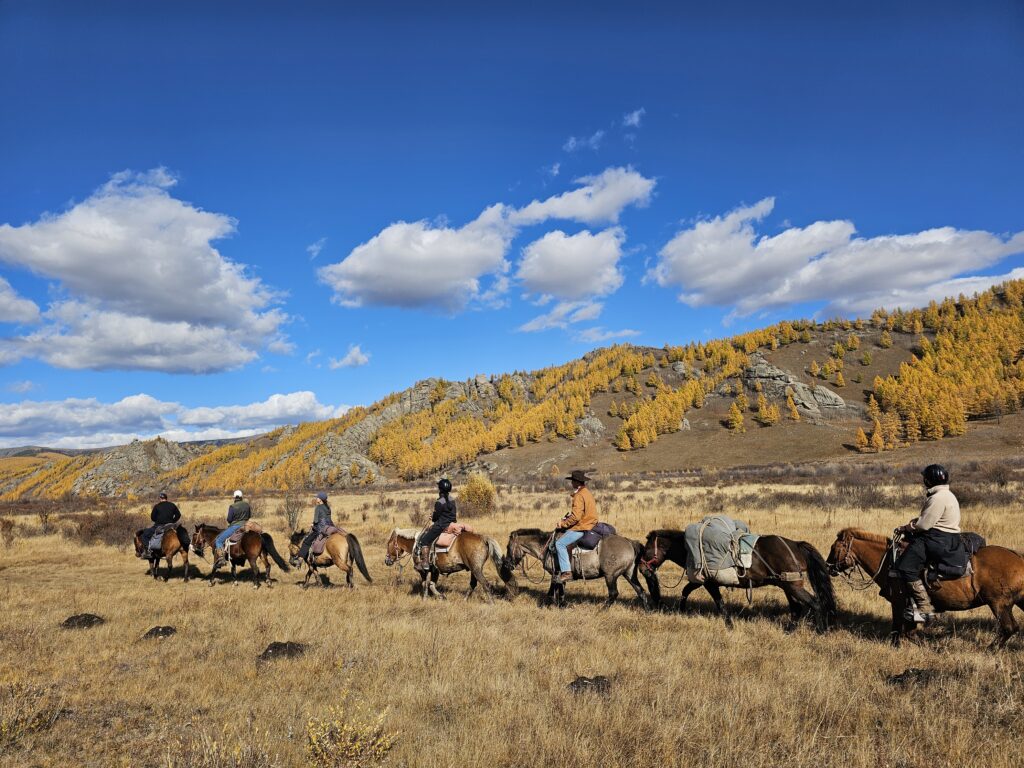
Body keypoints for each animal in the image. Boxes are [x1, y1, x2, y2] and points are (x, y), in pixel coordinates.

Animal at [383, 527, 514, 601]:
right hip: (473, 569)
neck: (417, 543)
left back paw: (491, 603)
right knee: (473, 584)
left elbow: (425, 584)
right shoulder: (434, 570)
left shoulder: (423, 570)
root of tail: (483, 538)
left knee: (485, 584)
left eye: (388, 543)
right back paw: (464, 600)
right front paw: (439, 597)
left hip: (476, 569)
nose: (386, 561)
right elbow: (431, 584)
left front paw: (427, 598)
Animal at [501, 528, 648, 609]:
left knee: (613, 593)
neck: (547, 547)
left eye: (508, 547)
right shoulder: (558, 575)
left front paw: (555, 605)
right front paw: (557, 604)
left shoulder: (557, 573)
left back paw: (602, 609)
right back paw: (648, 610)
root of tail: (630, 542)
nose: (507, 564)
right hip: (629, 574)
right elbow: (557, 591)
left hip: (610, 575)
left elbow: (555, 591)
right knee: (641, 591)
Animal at [639, 529, 836, 631]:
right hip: (787, 585)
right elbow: (685, 590)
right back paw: (790, 630)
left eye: (647, 549)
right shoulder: (700, 581)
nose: (641, 569)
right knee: (797, 608)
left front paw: (729, 625)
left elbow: (718, 602)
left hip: (792, 586)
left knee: (815, 603)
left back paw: (821, 630)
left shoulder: (708, 582)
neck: (691, 548)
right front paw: (681, 610)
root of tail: (795, 544)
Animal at [827, 527, 1024, 647]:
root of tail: (1018, 557)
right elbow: (909, 630)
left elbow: (898, 629)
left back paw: (991, 648)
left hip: (999, 604)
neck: (890, 561)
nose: (828, 567)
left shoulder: (898, 602)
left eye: (834, 548)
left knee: (1009, 627)